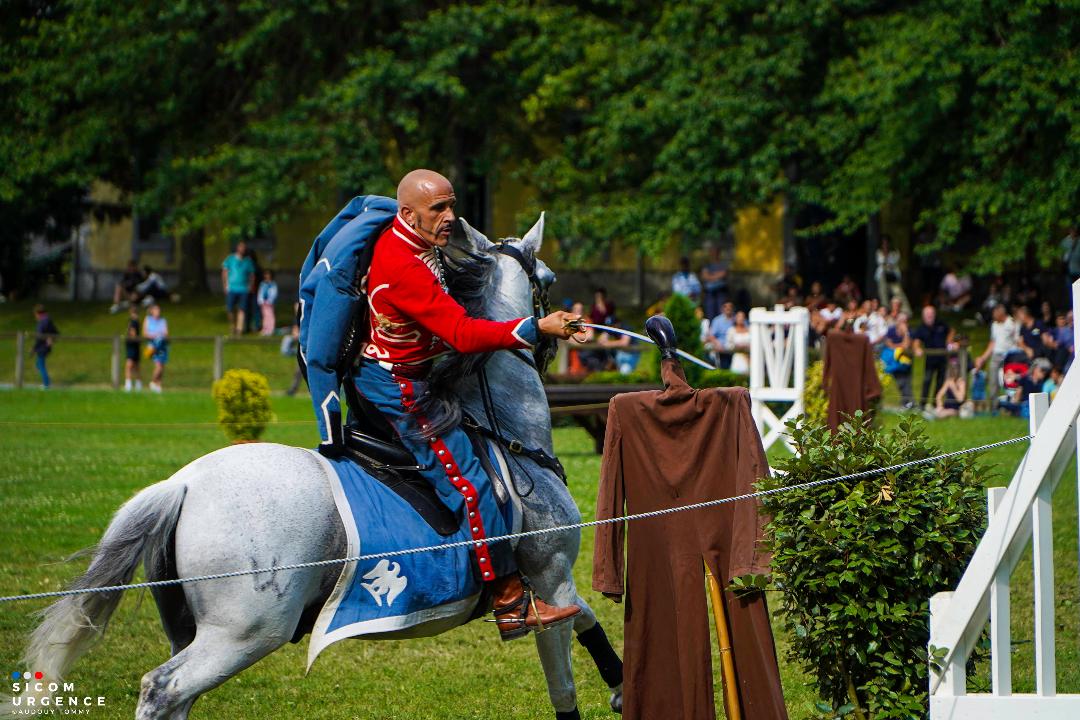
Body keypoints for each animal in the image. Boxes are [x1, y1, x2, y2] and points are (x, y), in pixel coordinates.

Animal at [8, 215, 622, 720]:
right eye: (548, 276)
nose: (569, 332)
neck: (506, 433)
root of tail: (181, 484)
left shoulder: (556, 587)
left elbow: (588, 619)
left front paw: (617, 685)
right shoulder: (551, 577)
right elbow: (567, 675)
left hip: (195, 629)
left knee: (175, 699)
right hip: (243, 633)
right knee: (162, 690)